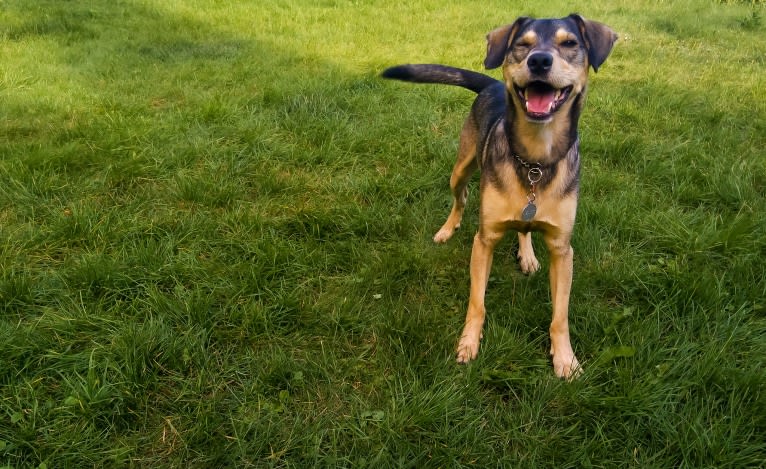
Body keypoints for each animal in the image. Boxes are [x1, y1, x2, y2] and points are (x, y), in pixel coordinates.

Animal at [382, 14, 616, 378]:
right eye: (522, 44)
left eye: (569, 43)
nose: (539, 60)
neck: (535, 159)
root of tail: (492, 85)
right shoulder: (485, 239)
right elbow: (477, 302)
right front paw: (468, 342)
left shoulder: (563, 249)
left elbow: (560, 315)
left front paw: (565, 358)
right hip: (461, 168)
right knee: (461, 197)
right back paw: (447, 229)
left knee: (523, 228)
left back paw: (528, 254)